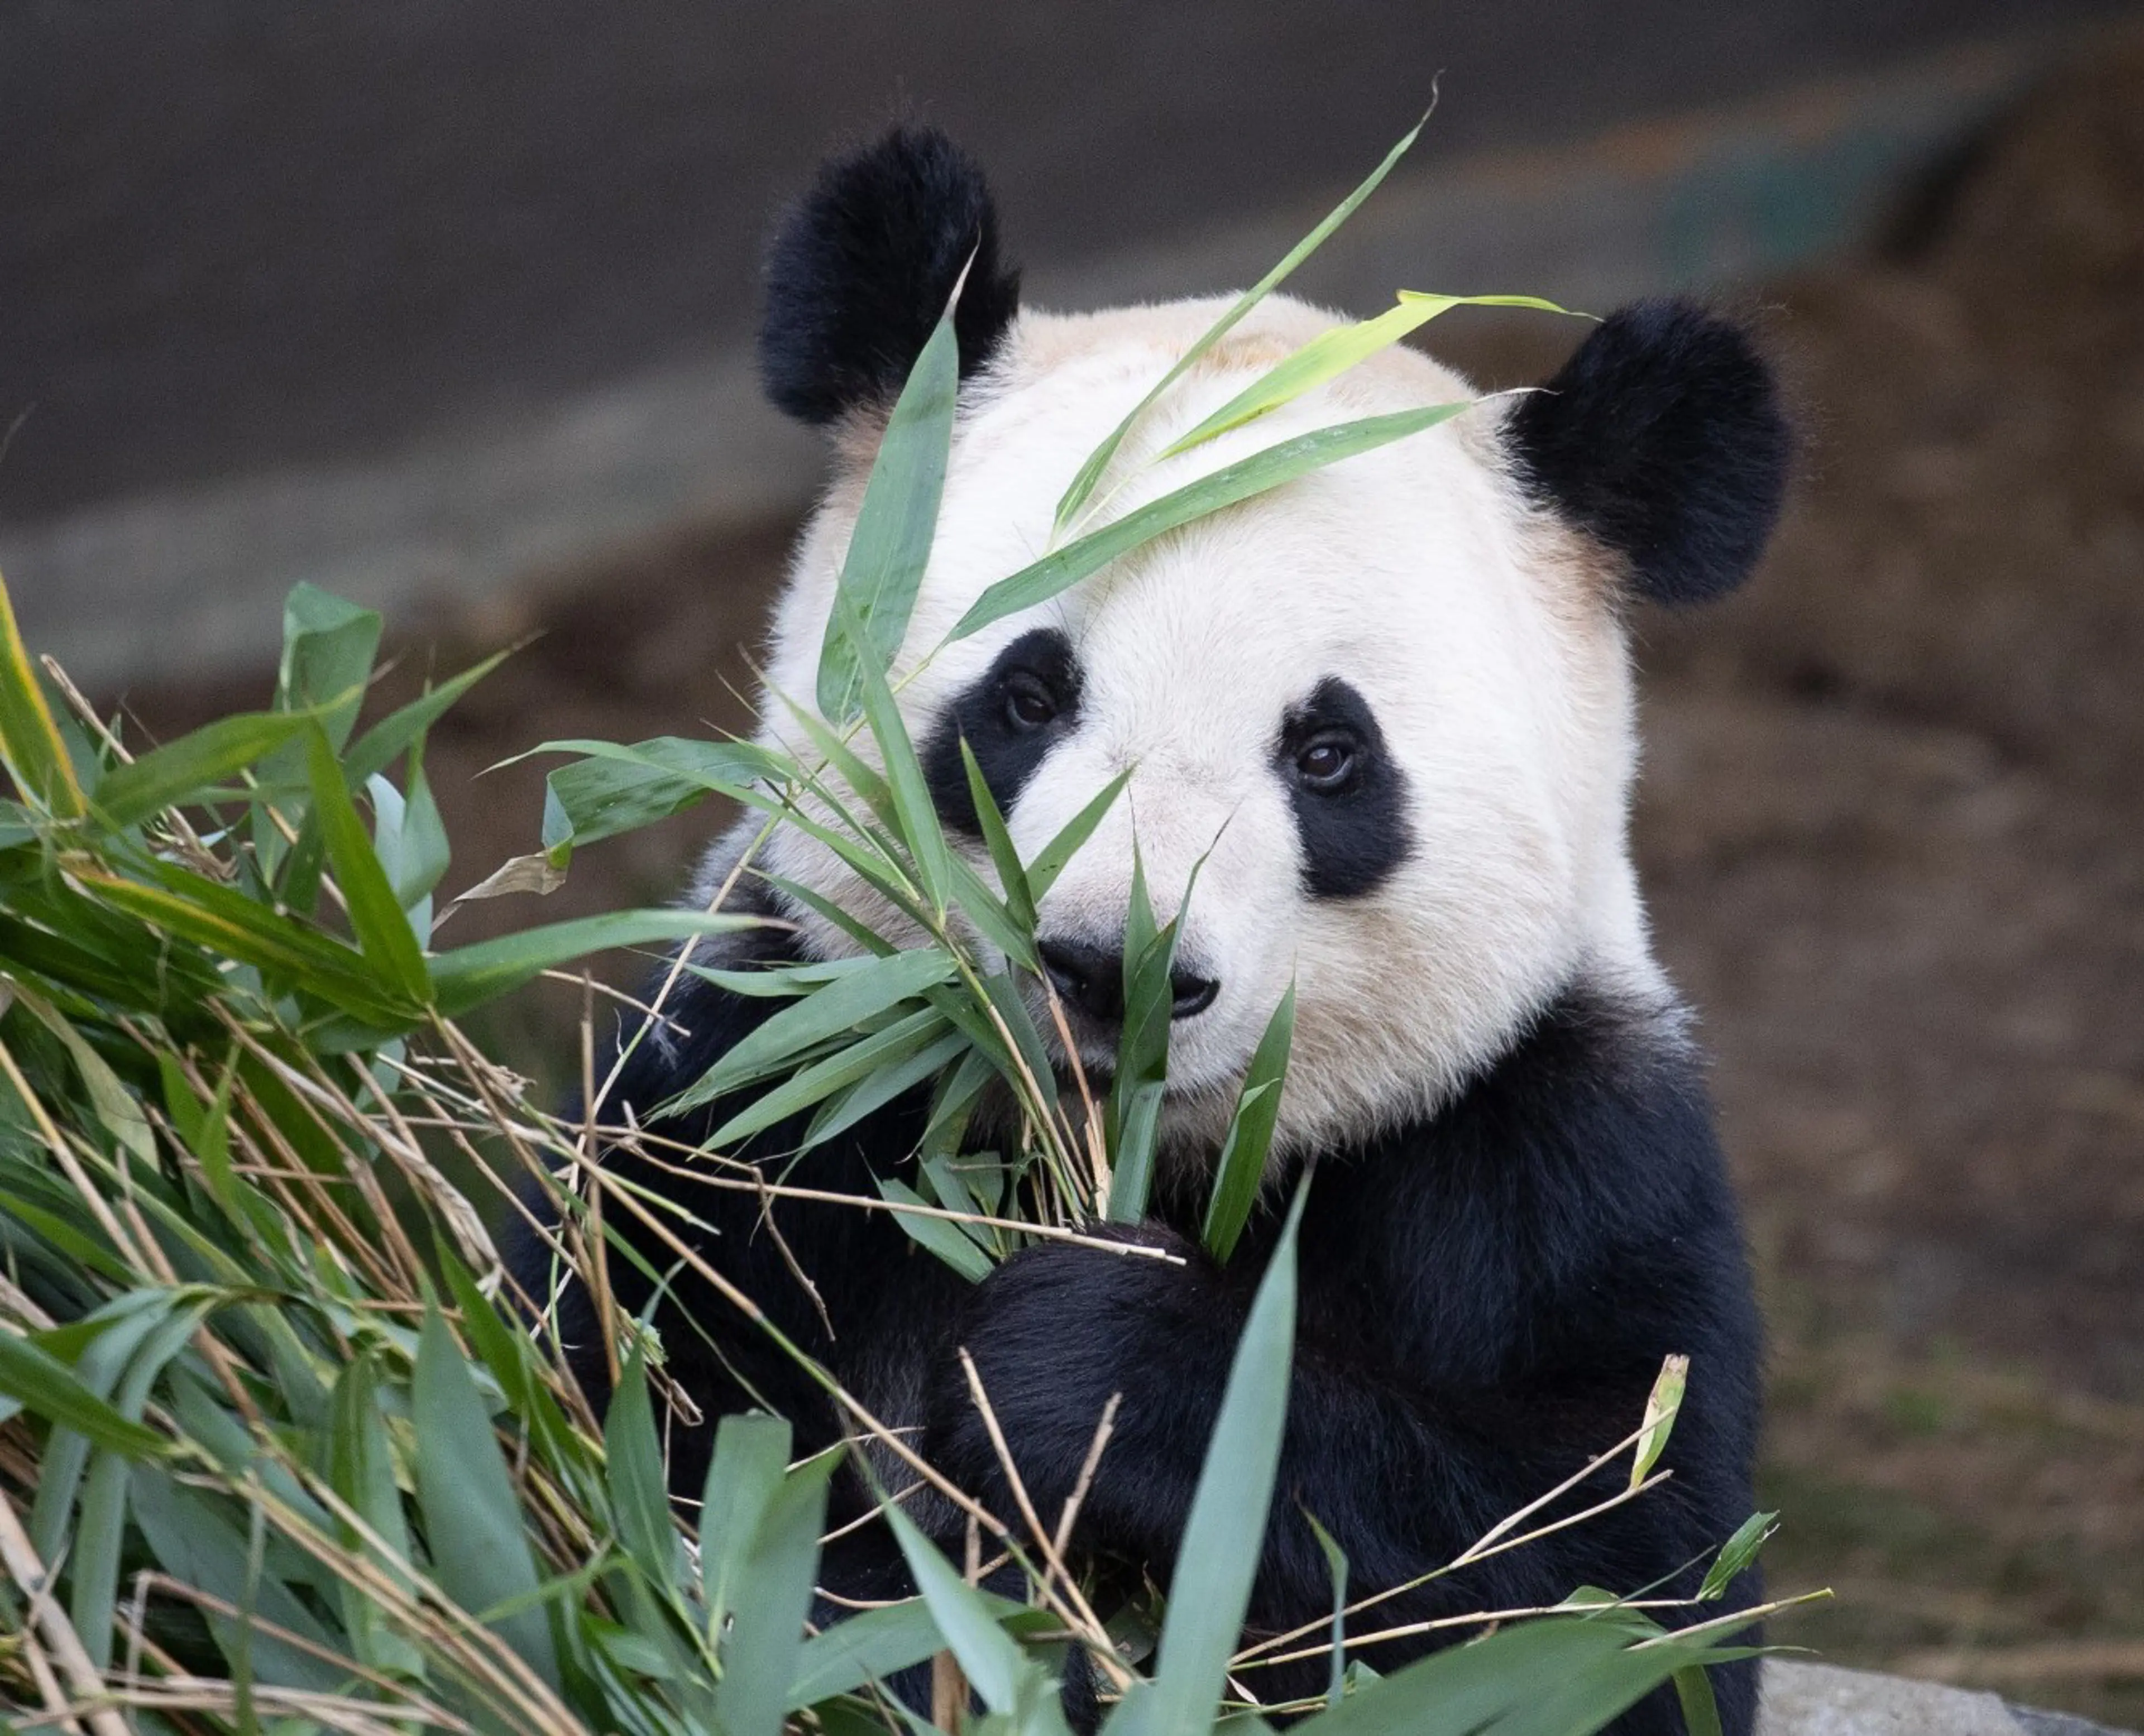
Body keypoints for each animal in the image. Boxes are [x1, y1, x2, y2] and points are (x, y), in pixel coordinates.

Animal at [528, 125, 1787, 1733]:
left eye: (1329, 754)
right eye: (1026, 693)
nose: (1108, 971)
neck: (1151, 1156)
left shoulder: (1544, 1138)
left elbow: (1612, 1583)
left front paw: (1089, 1364)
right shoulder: (766, 1068)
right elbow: (633, 1430)